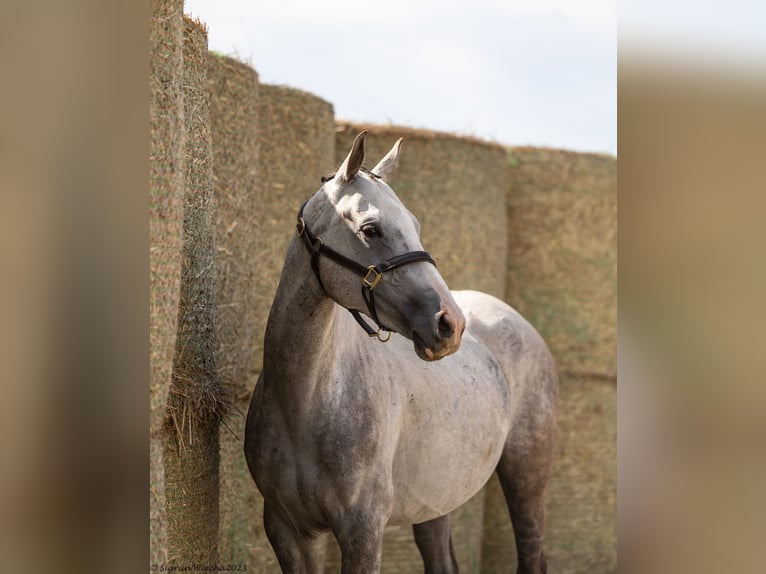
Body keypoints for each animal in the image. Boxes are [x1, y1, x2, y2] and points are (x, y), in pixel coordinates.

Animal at [246, 132, 560, 574]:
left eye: (415, 225)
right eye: (371, 229)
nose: (450, 324)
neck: (306, 400)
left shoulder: (363, 530)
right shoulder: (286, 529)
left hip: (526, 475)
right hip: (436, 499)